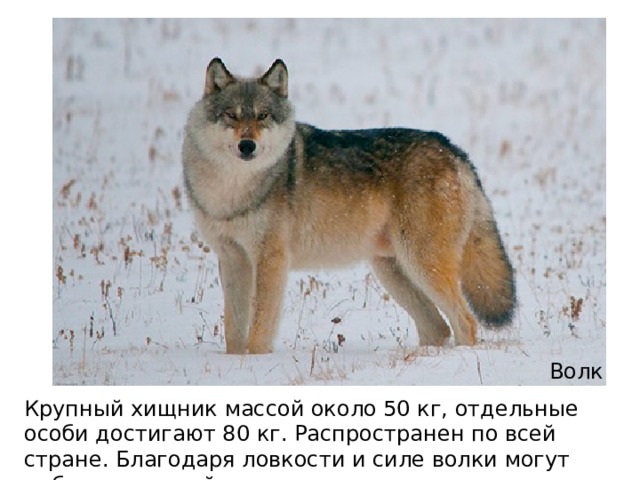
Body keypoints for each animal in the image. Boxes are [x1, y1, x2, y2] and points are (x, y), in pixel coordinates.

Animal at [182, 58, 516, 354]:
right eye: (231, 115)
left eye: (263, 116)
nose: (247, 146)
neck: (232, 190)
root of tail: (454, 149)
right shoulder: (232, 259)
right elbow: (233, 332)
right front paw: (235, 365)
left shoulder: (271, 260)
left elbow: (259, 331)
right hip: (392, 270)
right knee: (437, 327)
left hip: (421, 264)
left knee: (465, 323)